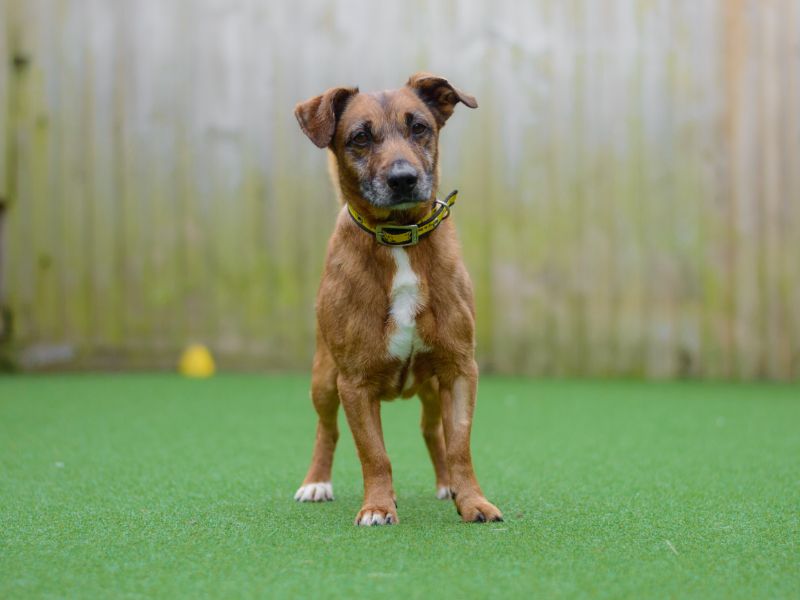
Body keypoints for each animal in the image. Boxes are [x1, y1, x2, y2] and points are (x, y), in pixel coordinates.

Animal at [290, 74, 500, 524]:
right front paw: (378, 506)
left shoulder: (459, 369)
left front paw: (472, 501)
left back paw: (447, 485)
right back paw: (316, 482)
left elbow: (459, 445)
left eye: (419, 127)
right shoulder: (354, 383)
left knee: (432, 431)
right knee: (327, 429)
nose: (403, 178)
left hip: (431, 388)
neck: (400, 239)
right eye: (360, 137)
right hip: (323, 380)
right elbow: (374, 454)